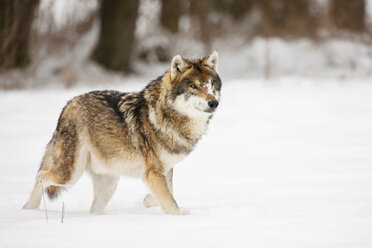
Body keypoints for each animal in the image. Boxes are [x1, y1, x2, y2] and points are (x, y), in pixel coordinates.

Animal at [24, 51, 221, 214]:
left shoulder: (164, 170)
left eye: (211, 85)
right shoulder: (153, 173)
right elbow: (172, 205)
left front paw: (148, 200)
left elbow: (167, 194)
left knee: (93, 209)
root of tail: (68, 105)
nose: (214, 103)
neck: (167, 116)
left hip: (108, 185)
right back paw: (28, 210)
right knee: (41, 176)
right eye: (194, 86)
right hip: (69, 175)